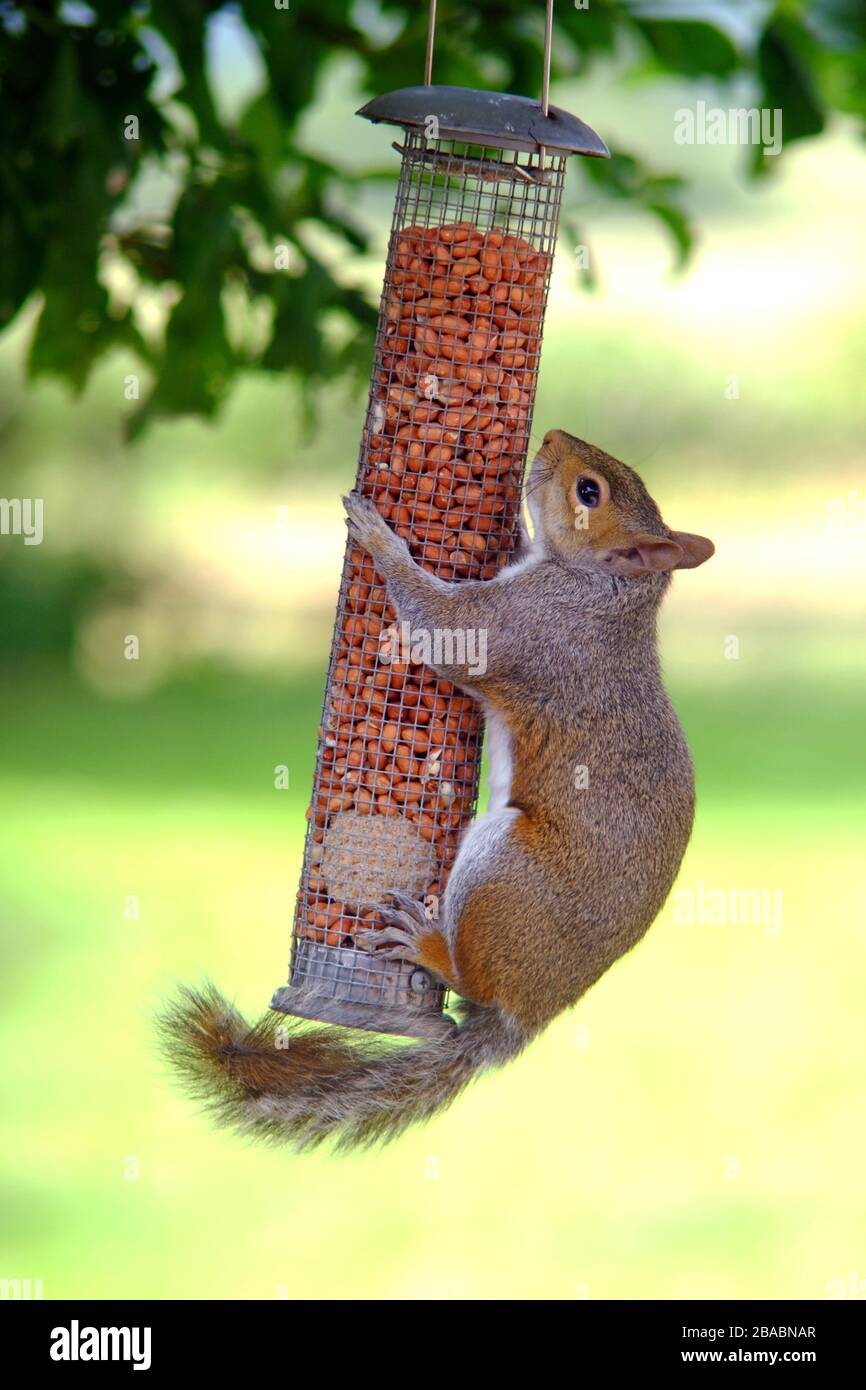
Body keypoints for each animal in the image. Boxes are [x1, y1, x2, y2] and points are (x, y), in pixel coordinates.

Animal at [159, 430, 714, 1151]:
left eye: (588, 492)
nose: (550, 436)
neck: (608, 591)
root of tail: (528, 1014)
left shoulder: (525, 626)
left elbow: (442, 628)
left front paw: (382, 540)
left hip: (502, 870)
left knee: (468, 967)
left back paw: (424, 943)